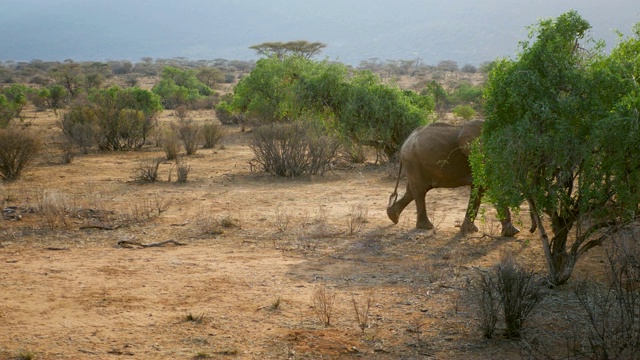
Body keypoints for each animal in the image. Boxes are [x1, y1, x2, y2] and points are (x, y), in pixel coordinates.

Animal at [384, 119, 520, 238]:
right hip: (413, 161)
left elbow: (479, 189)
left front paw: (469, 230)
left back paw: (393, 216)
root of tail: (404, 144)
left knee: (412, 191)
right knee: (420, 190)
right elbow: (489, 185)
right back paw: (426, 226)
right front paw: (512, 233)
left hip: (414, 164)